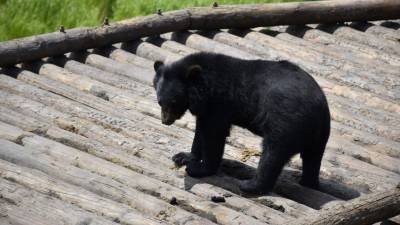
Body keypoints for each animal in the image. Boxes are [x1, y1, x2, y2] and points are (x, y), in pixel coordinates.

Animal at [152, 51, 330, 194]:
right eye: (160, 102)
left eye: (174, 102)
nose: (165, 121)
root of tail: (319, 106)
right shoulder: (206, 109)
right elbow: (200, 132)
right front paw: (183, 157)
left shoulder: (219, 104)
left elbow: (213, 135)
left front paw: (199, 169)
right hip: (318, 137)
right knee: (312, 159)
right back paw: (309, 182)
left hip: (286, 123)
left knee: (272, 154)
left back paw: (249, 185)